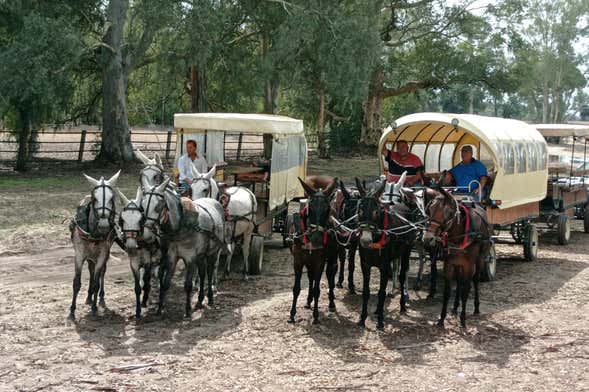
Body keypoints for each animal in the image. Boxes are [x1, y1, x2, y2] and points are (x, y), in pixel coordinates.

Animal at [68, 170, 120, 320]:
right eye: (95, 198)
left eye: (111, 198)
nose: (103, 225)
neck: (93, 233)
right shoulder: (79, 255)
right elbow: (76, 282)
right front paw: (72, 311)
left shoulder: (102, 255)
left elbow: (97, 282)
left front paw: (95, 308)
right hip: (90, 256)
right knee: (91, 271)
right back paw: (89, 297)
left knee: (101, 273)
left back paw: (99, 298)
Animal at [141, 179, 227, 316]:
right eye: (142, 207)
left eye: (158, 207)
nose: (147, 234)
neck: (181, 225)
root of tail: (214, 201)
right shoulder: (171, 256)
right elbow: (166, 283)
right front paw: (160, 308)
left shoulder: (190, 258)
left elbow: (188, 285)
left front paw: (187, 310)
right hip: (201, 255)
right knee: (202, 273)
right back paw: (200, 300)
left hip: (213, 252)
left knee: (209, 272)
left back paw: (210, 297)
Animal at [288, 176, 338, 324]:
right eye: (310, 207)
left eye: (327, 209)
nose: (316, 237)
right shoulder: (298, 261)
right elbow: (296, 288)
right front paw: (292, 314)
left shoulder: (319, 262)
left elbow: (317, 289)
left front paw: (315, 316)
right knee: (311, 277)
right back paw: (308, 301)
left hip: (331, 257)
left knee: (330, 274)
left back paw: (331, 302)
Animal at [420, 187, 490, 328]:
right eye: (429, 209)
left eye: (448, 212)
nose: (428, 238)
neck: (459, 235)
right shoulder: (449, 264)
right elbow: (447, 292)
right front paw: (441, 319)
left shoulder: (469, 266)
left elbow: (465, 291)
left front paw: (463, 320)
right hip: (458, 264)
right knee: (458, 281)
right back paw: (455, 307)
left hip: (479, 260)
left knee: (475, 280)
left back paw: (476, 308)